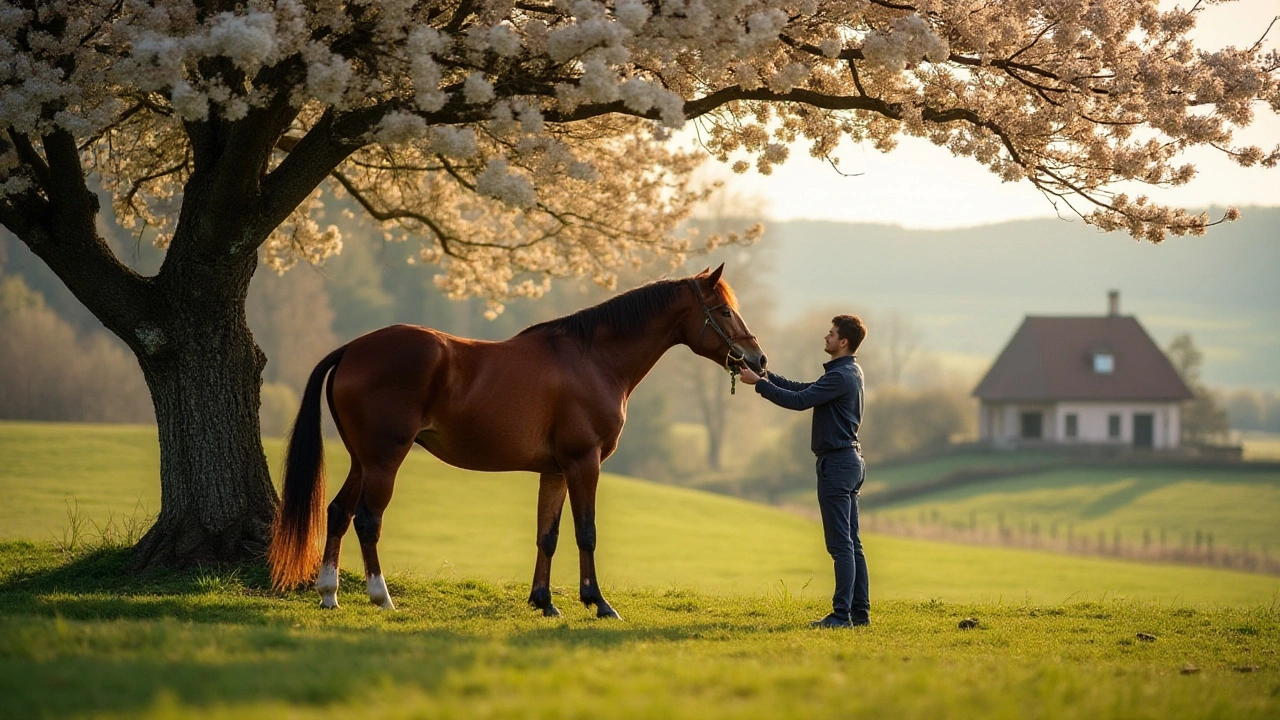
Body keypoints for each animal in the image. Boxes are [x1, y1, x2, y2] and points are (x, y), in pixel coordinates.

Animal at [268, 265, 762, 617]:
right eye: (723, 311)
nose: (757, 358)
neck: (594, 359)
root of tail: (352, 349)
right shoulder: (584, 463)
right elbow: (586, 532)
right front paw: (598, 602)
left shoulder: (556, 470)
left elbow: (548, 535)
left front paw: (544, 602)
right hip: (385, 460)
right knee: (368, 519)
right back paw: (381, 598)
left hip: (362, 459)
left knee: (338, 512)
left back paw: (329, 593)